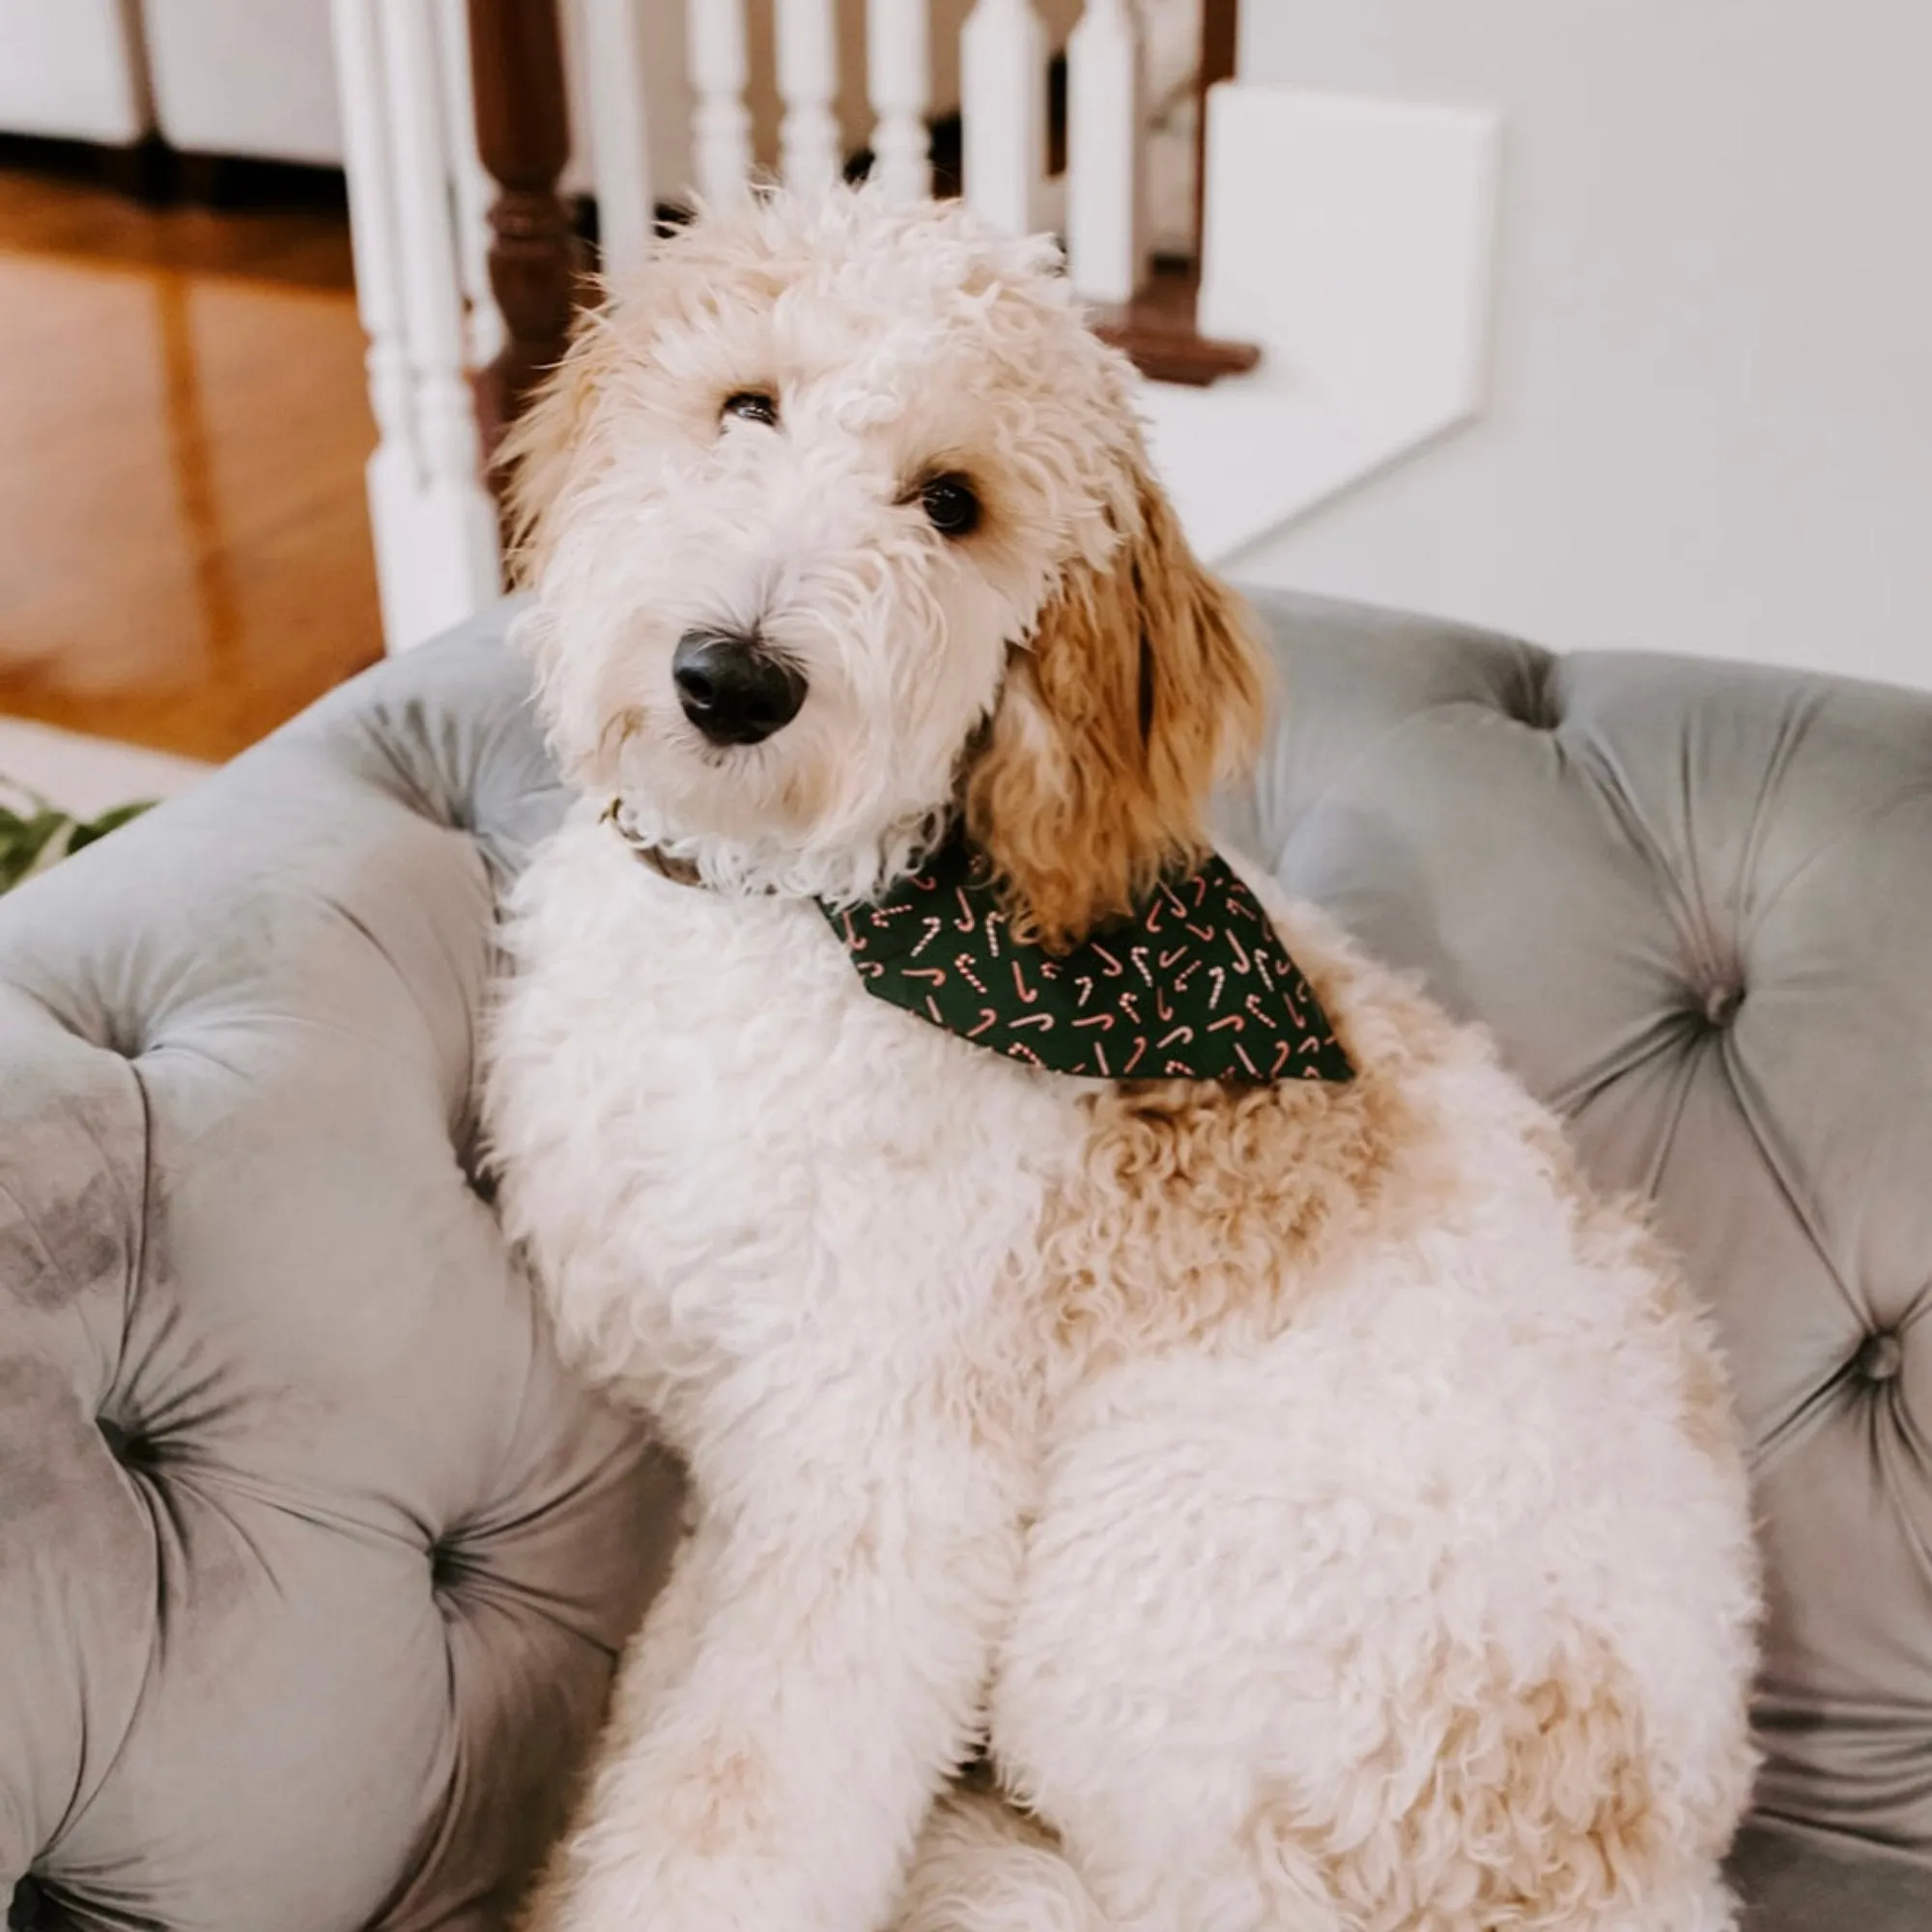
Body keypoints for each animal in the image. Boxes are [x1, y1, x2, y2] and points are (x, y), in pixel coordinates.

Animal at [483, 185, 1770, 1932]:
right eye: (746, 407)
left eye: (951, 505)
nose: (731, 678)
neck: (791, 924)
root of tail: (1646, 1876)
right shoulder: (724, 1440)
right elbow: (672, 1716)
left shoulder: (880, 1481)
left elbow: (742, 1805)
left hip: (1126, 1609)